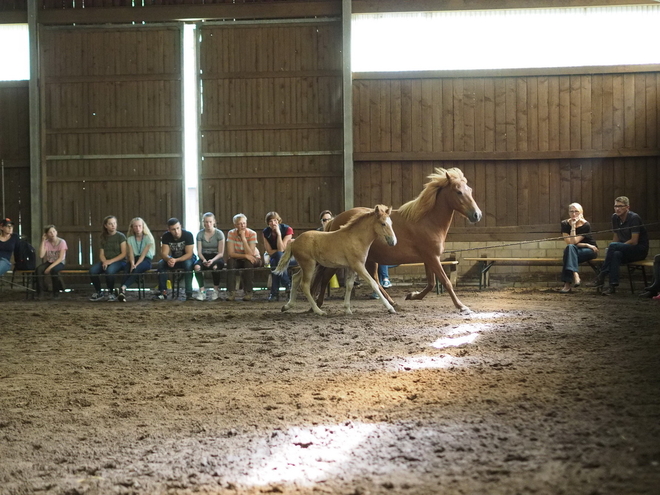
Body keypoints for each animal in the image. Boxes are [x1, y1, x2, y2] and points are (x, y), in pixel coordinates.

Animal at [312, 169, 482, 312]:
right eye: (458, 192)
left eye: (470, 190)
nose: (477, 215)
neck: (427, 221)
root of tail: (334, 220)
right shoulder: (432, 258)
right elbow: (446, 282)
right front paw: (461, 306)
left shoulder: (429, 258)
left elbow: (431, 283)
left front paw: (412, 295)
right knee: (325, 277)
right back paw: (317, 304)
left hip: (370, 260)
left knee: (375, 281)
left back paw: (393, 304)